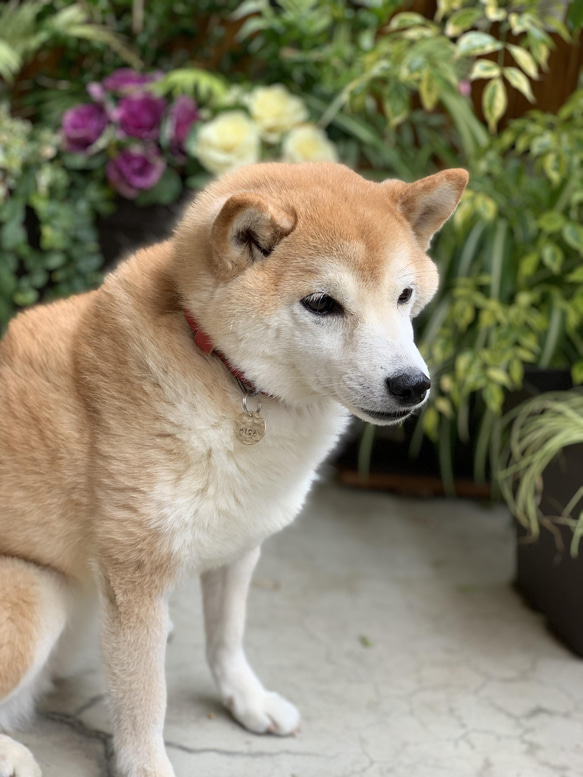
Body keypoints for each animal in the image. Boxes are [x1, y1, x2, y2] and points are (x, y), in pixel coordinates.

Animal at [0, 161, 468, 772]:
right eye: (322, 304)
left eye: (404, 296)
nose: (413, 385)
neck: (222, 371)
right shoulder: (134, 576)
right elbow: (144, 699)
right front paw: (146, 765)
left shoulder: (241, 545)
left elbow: (227, 639)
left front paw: (247, 701)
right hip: (37, 594)